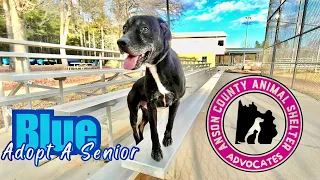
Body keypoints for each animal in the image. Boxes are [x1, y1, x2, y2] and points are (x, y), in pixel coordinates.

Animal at [117, 15, 186, 162]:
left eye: (144, 28)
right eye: (124, 28)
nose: (120, 42)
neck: (156, 66)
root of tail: (133, 85)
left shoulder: (175, 102)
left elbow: (170, 122)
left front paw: (167, 139)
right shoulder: (152, 105)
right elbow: (154, 132)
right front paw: (156, 151)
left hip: (146, 113)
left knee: (141, 125)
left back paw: (142, 139)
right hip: (134, 111)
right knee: (134, 128)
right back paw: (138, 141)